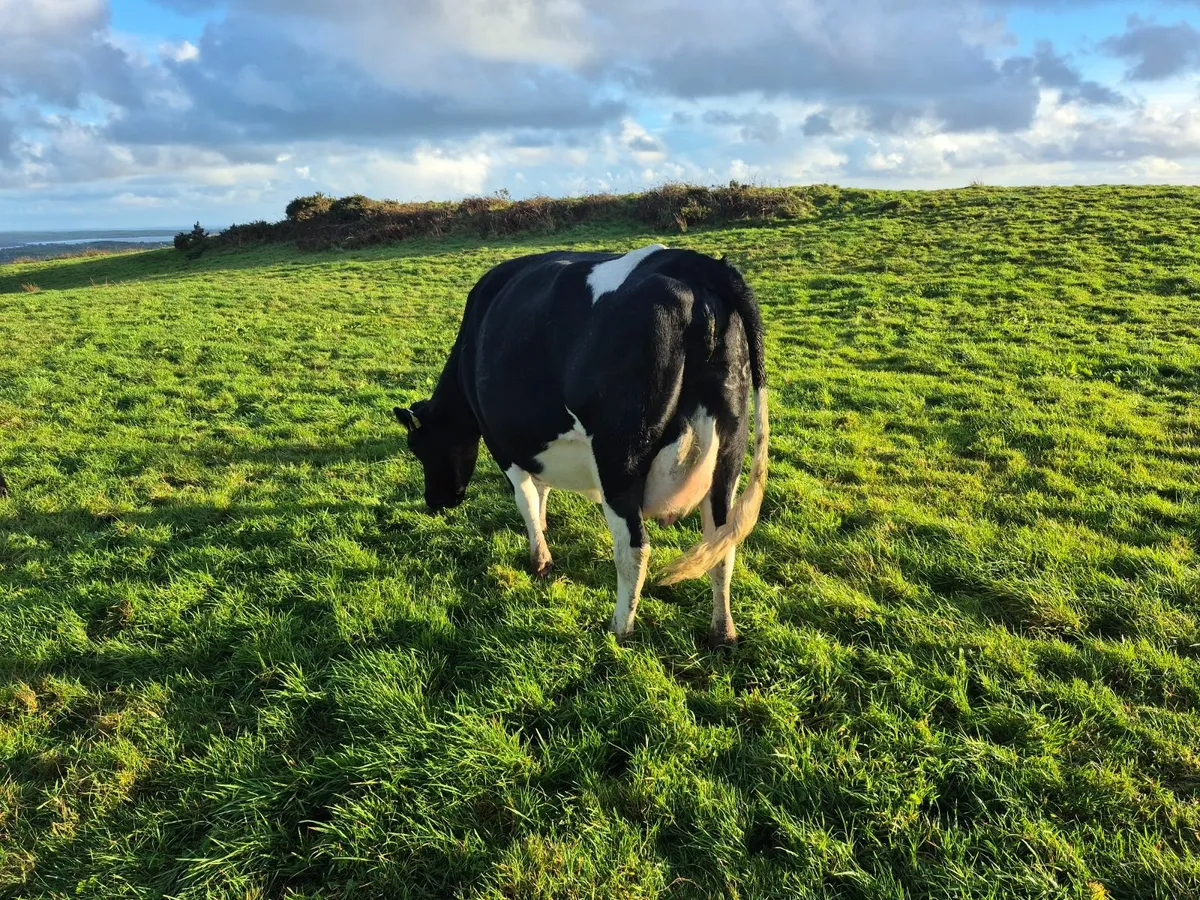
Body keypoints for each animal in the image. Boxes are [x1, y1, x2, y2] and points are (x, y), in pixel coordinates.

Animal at [393, 244, 768, 648]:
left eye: (419, 447)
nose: (435, 500)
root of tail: (696, 263)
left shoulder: (502, 444)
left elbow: (526, 499)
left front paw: (540, 559)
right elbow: (541, 489)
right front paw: (543, 529)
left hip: (619, 460)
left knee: (634, 549)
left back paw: (620, 628)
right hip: (728, 453)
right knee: (722, 545)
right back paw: (723, 632)